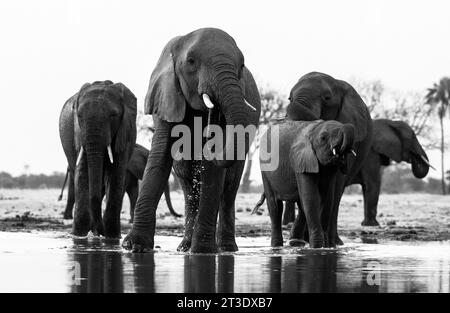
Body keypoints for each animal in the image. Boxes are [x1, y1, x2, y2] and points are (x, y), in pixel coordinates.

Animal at [59, 80, 137, 236]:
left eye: (113, 116)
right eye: (79, 116)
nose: (101, 232)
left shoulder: (125, 132)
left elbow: (116, 173)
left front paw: (112, 236)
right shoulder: (79, 134)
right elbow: (83, 172)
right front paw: (78, 235)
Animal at [256, 118, 356, 247]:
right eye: (323, 138)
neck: (314, 130)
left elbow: (327, 199)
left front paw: (327, 247)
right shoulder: (301, 160)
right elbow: (312, 198)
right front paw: (317, 247)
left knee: (302, 206)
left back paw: (296, 242)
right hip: (265, 170)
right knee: (275, 206)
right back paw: (277, 246)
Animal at [284, 72, 372, 245]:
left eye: (327, 98)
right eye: (290, 98)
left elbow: (334, 183)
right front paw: (296, 242)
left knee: (338, 192)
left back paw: (335, 242)